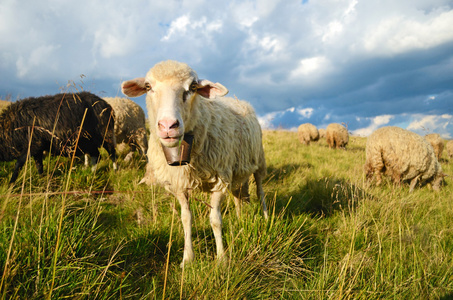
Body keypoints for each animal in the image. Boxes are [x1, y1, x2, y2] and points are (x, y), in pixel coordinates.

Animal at [122, 59, 266, 266]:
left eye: (192, 87)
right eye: (148, 87)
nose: (168, 126)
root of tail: (238, 100)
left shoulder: (220, 180)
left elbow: (215, 220)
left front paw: (222, 260)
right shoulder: (179, 184)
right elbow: (186, 219)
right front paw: (188, 259)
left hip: (259, 160)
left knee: (260, 190)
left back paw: (267, 218)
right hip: (238, 170)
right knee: (239, 196)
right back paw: (240, 219)